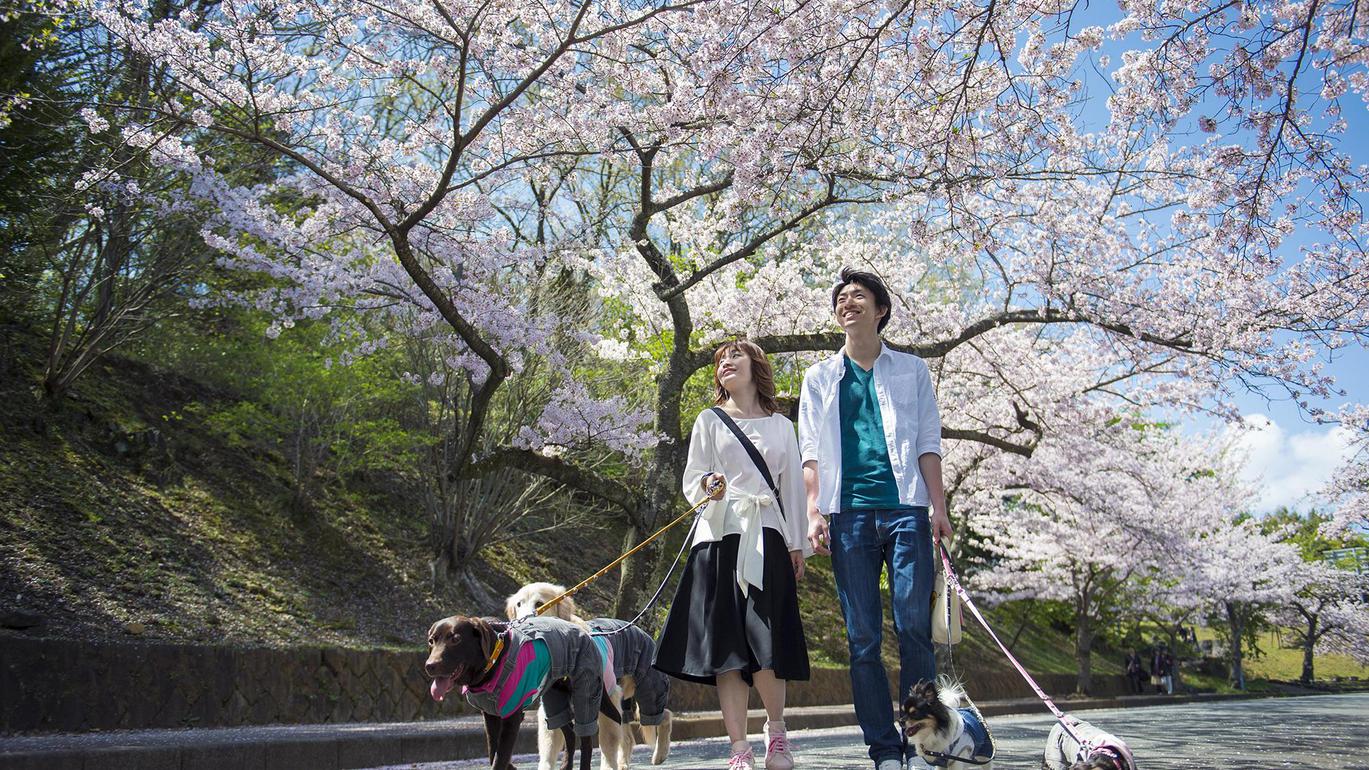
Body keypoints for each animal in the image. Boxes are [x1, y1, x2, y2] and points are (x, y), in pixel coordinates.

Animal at [424, 613, 624, 770]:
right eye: (431, 641)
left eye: (455, 639)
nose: (429, 666)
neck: (493, 662)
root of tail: (588, 634)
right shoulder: (489, 715)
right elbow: (493, 750)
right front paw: (511, 766)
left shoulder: (512, 717)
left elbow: (500, 755)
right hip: (554, 699)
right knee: (569, 731)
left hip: (586, 691)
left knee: (586, 738)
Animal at [503, 580, 673, 767]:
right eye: (519, 604)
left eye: (539, 604)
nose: (519, 622)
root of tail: (641, 631)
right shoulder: (552, 703)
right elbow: (549, 746)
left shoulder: (606, 696)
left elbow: (607, 741)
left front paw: (608, 766)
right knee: (629, 738)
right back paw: (624, 764)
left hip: (648, 688)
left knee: (664, 715)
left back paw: (660, 754)